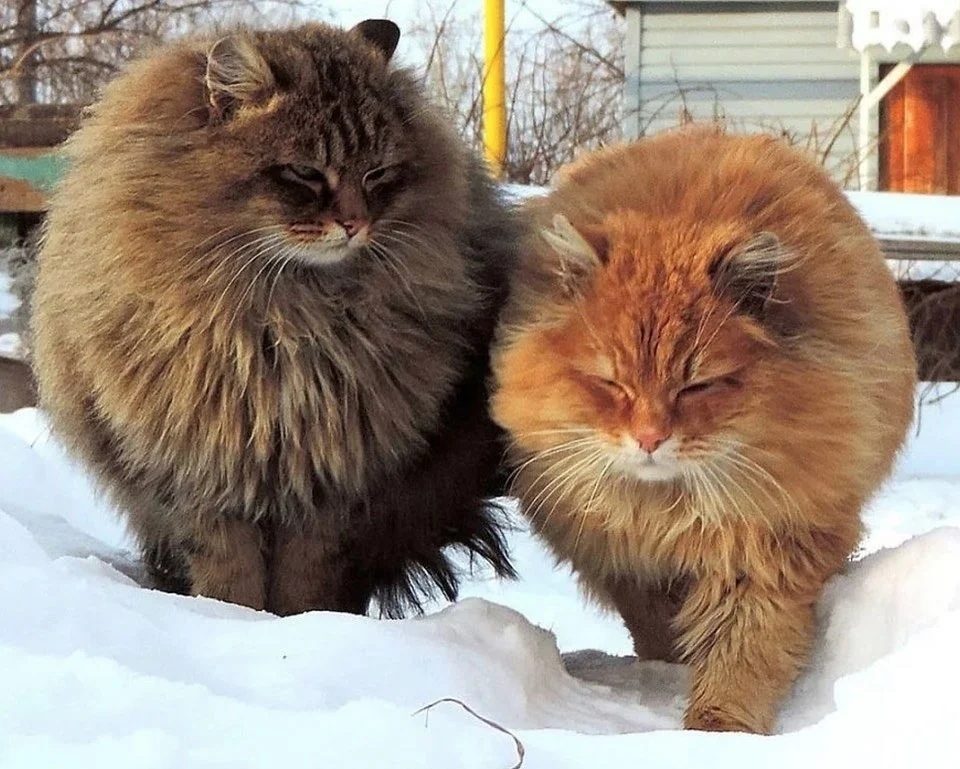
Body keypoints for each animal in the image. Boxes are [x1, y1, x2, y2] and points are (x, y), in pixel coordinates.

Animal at [31, 19, 516, 616]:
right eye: (305, 173)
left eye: (377, 173)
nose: (355, 225)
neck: (286, 319)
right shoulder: (205, 475)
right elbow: (229, 576)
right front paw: (235, 619)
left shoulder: (329, 482)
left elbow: (303, 584)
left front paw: (302, 625)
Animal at [492, 129, 920, 736]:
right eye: (611, 383)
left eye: (696, 385)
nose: (650, 438)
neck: (668, 508)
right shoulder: (626, 562)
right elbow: (658, 626)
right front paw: (673, 672)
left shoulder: (767, 548)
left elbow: (741, 652)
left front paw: (719, 730)